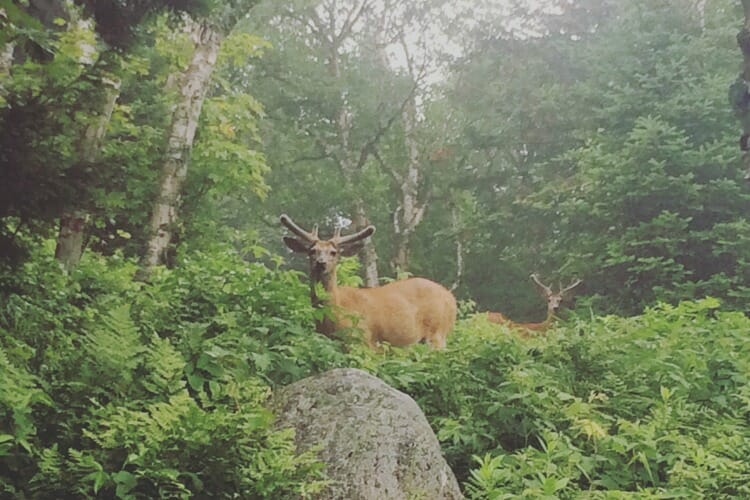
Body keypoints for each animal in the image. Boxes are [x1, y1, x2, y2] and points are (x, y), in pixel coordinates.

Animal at [280, 214, 457, 349]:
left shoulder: (363, 339)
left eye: (333, 252)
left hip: (437, 331)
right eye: (312, 251)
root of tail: (451, 299)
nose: (320, 263)